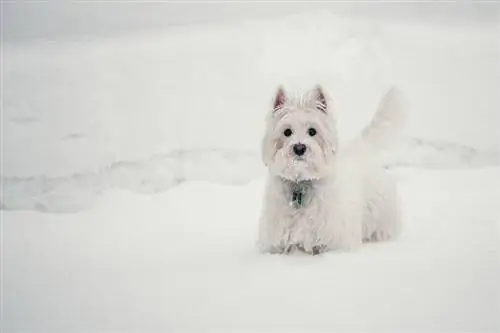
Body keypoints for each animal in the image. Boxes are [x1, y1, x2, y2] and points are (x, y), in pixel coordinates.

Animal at [258, 84, 402, 253]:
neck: (301, 182)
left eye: (312, 131)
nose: (299, 148)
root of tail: (360, 147)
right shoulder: (276, 237)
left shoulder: (335, 238)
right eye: (287, 132)